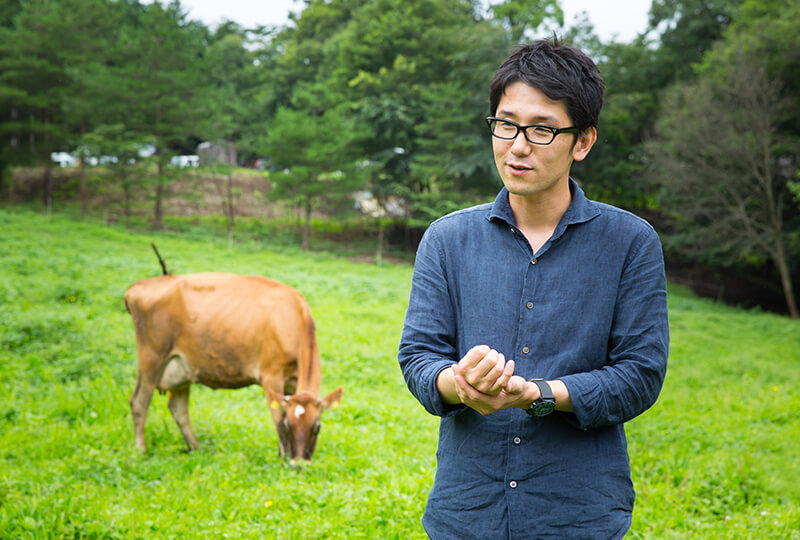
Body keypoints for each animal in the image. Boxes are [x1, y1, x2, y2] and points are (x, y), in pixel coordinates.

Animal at [123, 272, 342, 466]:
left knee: (178, 408)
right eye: (290, 425)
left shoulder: (291, 383)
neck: (292, 319)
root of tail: (135, 288)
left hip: (181, 369)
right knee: (139, 402)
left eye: (317, 427)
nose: (299, 464)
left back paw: (196, 449)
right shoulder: (271, 378)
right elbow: (277, 420)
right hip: (151, 358)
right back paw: (141, 451)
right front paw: (283, 459)